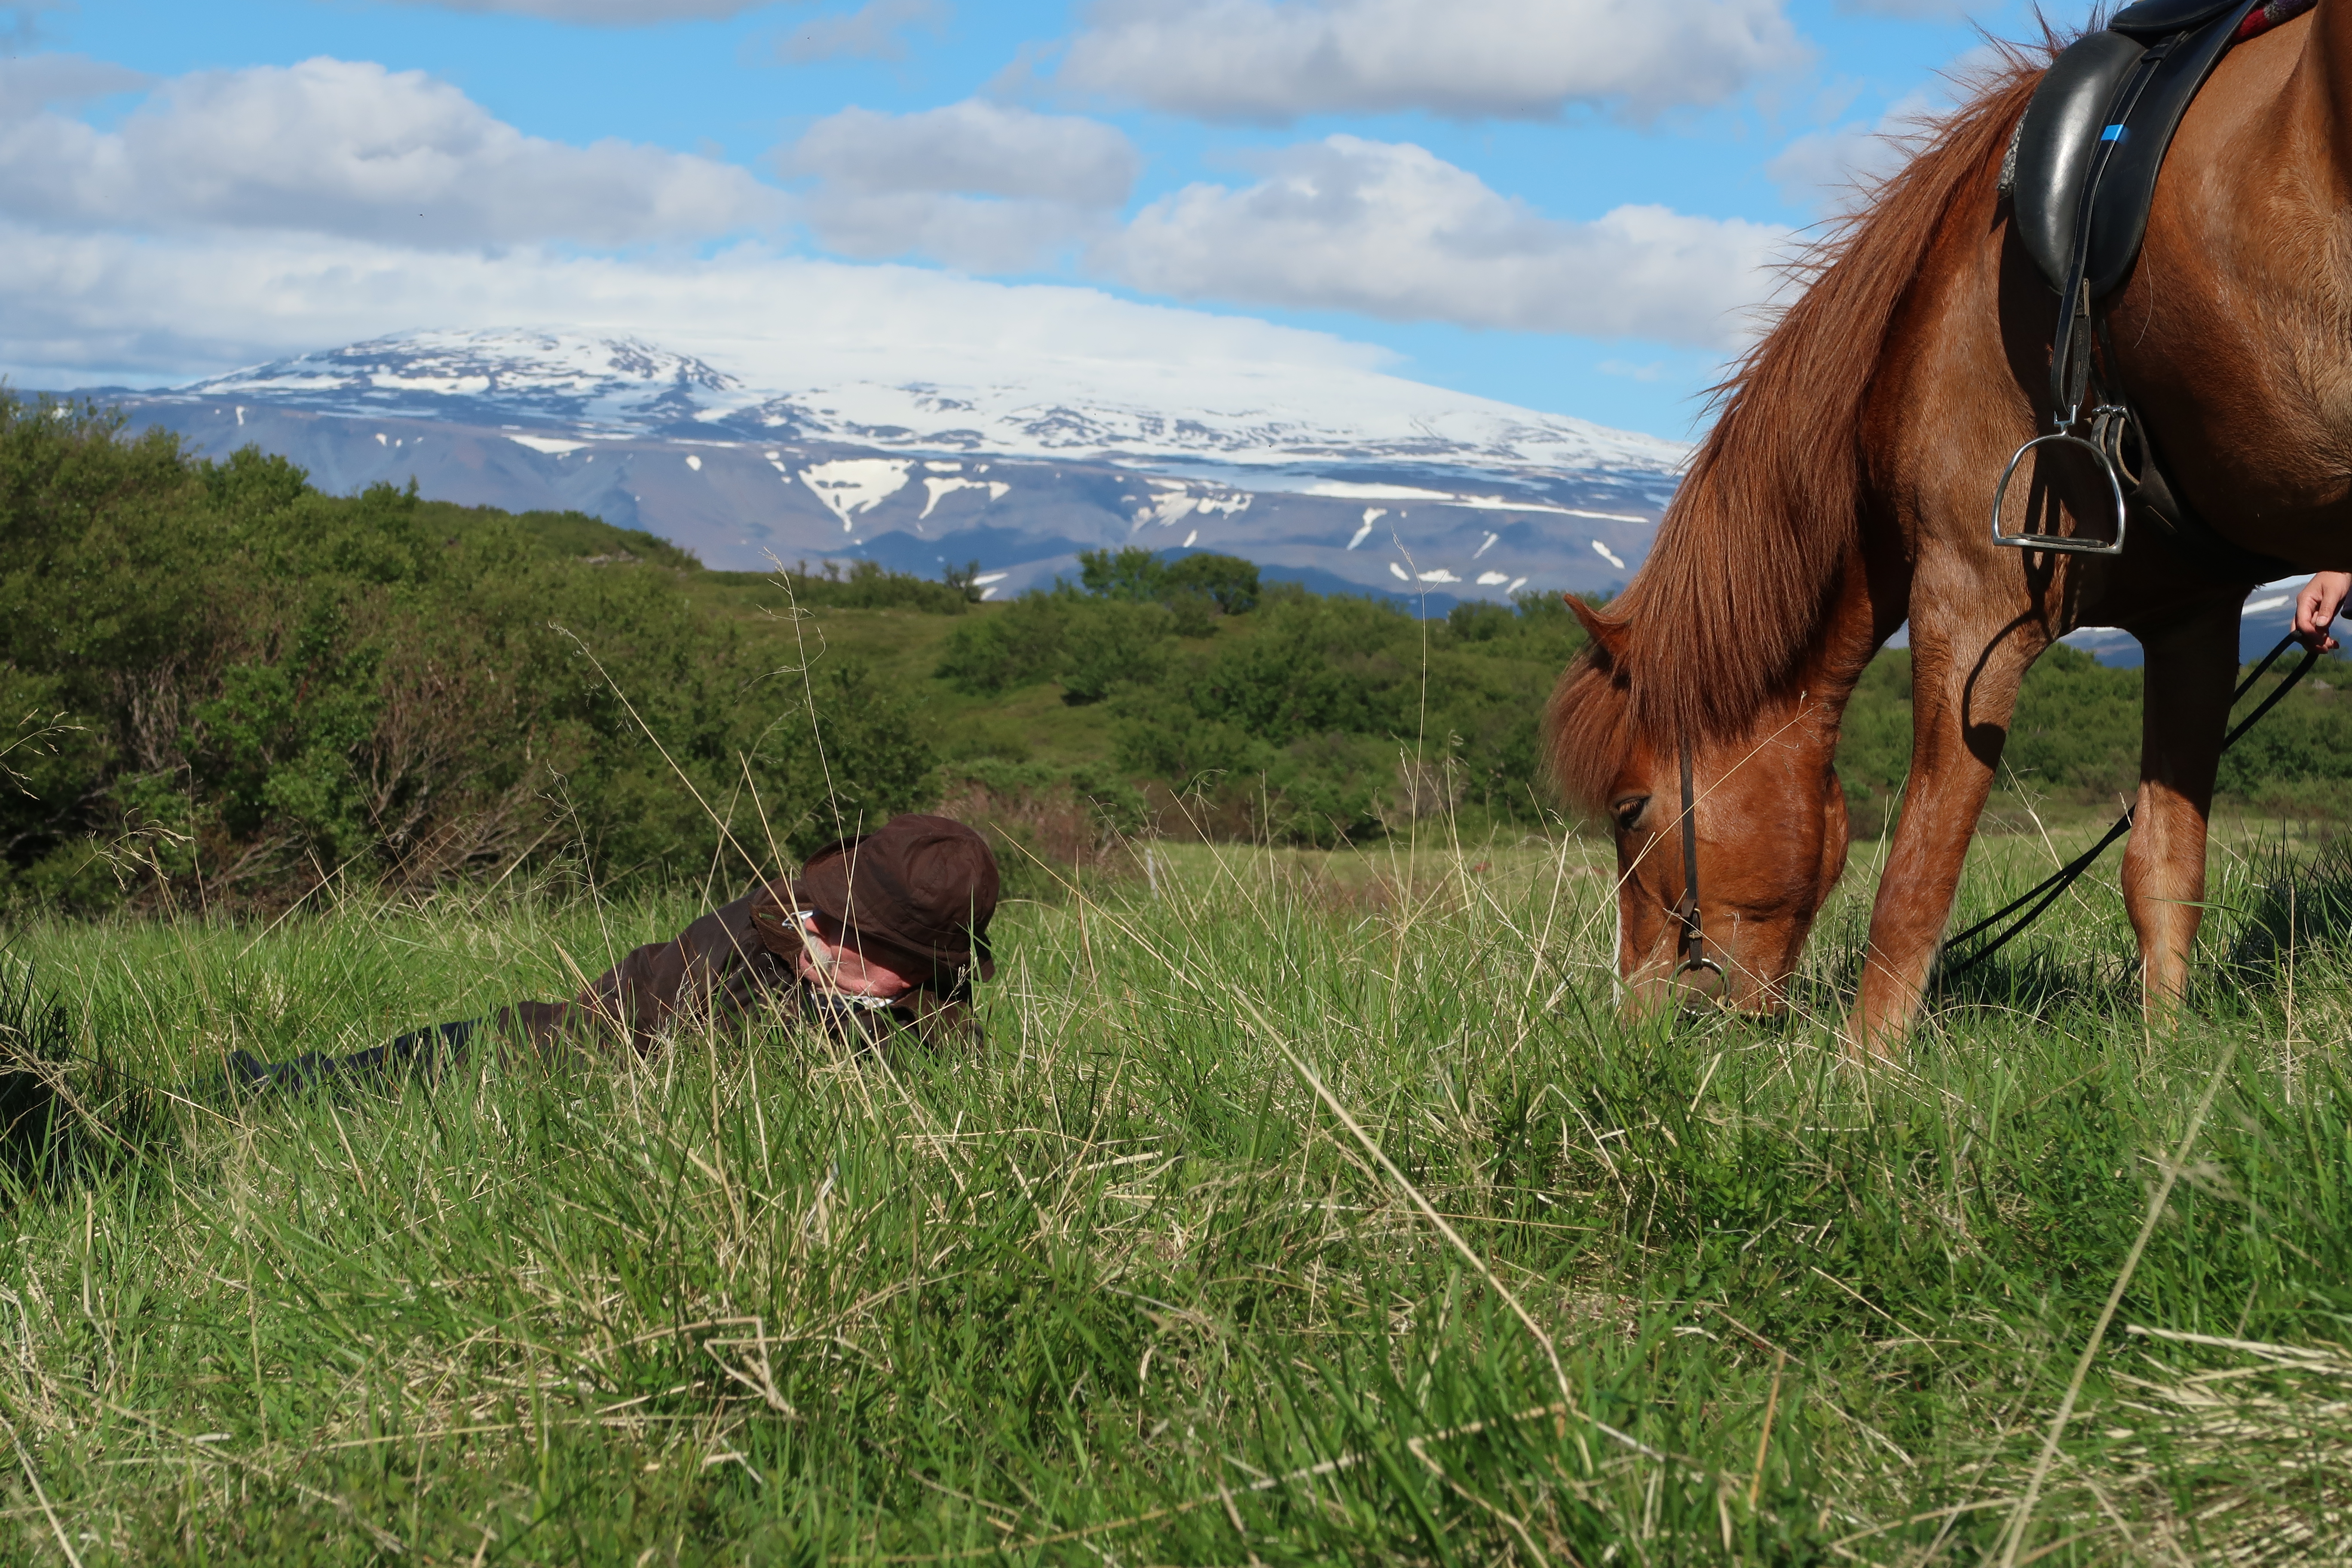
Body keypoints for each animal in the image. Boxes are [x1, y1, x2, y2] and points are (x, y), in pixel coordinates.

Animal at [1545, 7, 2347, 1056]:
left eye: (1630, 810)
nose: (1642, 1024)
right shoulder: (2194, 623)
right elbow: (2164, 872)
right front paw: (2166, 1058)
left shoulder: (1969, 600)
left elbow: (1915, 882)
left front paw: (1864, 1070)